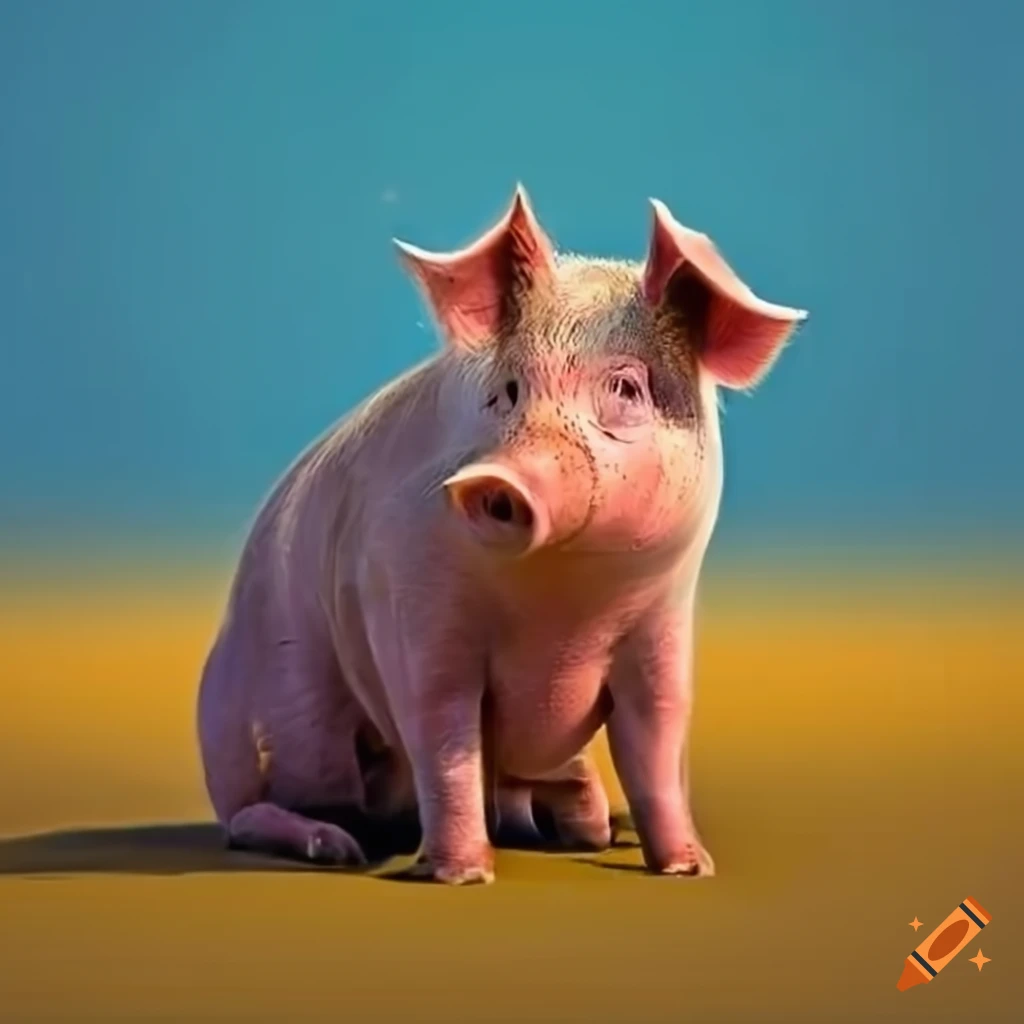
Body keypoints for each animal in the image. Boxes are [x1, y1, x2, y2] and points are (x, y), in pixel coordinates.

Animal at [196, 185, 807, 884]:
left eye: (625, 387)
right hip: (262, 714)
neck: (564, 610)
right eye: (509, 391)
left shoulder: (662, 620)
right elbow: (444, 740)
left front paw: (688, 868)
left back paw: (581, 829)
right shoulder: (414, 608)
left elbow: (655, 739)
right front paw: (462, 877)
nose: (495, 480)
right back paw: (337, 846)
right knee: (249, 812)